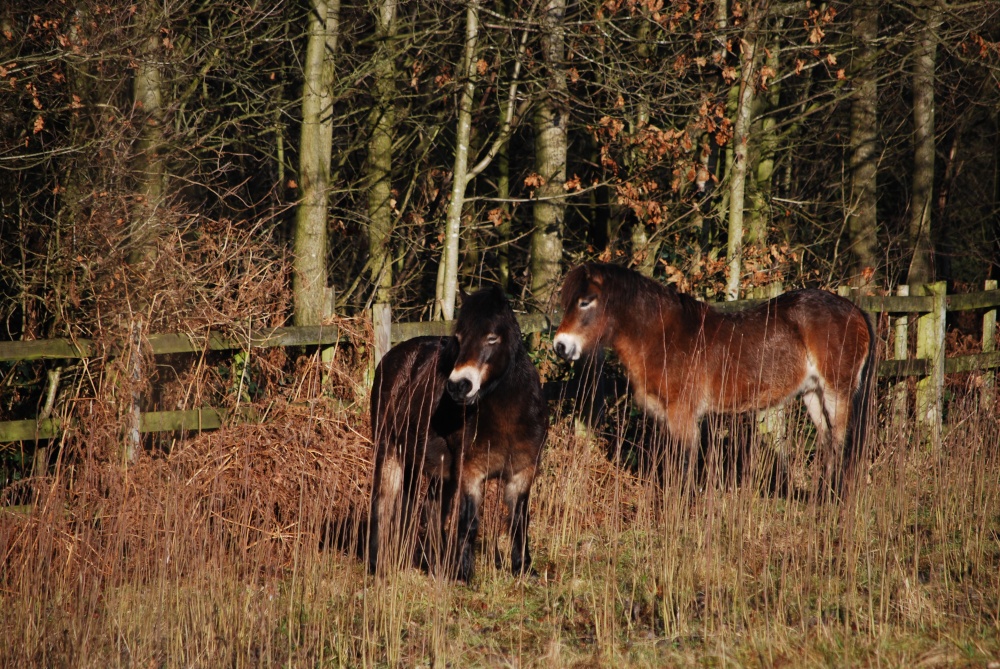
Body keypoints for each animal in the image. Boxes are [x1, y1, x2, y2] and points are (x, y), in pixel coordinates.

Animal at [368, 286, 548, 581]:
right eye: (459, 338)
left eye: (492, 337)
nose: (458, 386)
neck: (509, 416)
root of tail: (391, 359)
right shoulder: (470, 472)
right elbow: (469, 521)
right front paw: (464, 574)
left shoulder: (522, 473)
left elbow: (519, 520)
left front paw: (524, 569)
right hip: (390, 451)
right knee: (382, 502)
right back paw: (378, 565)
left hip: (436, 470)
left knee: (429, 509)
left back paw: (436, 565)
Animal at [552, 262, 875, 495]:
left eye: (586, 301)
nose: (560, 346)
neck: (662, 338)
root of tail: (854, 309)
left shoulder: (683, 416)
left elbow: (684, 469)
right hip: (813, 394)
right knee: (828, 442)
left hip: (837, 392)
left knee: (841, 442)